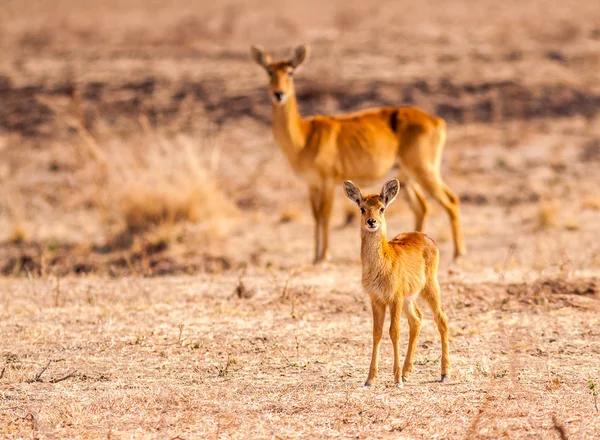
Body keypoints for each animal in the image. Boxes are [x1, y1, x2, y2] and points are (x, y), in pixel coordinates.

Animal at [251, 44, 466, 262]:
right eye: (269, 71)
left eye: (290, 72)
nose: (279, 94)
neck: (305, 136)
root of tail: (437, 120)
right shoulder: (311, 184)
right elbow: (316, 216)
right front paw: (315, 257)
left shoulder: (328, 182)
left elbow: (325, 215)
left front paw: (324, 256)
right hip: (406, 179)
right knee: (422, 207)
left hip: (424, 171)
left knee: (450, 201)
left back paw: (458, 254)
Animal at [344, 179, 448, 384]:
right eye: (362, 208)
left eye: (382, 208)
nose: (372, 222)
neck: (382, 263)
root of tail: (426, 237)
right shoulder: (376, 299)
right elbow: (376, 332)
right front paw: (370, 379)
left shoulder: (395, 298)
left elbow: (394, 331)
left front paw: (396, 377)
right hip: (409, 298)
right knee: (417, 319)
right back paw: (408, 372)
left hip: (430, 288)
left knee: (441, 319)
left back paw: (444, 373)